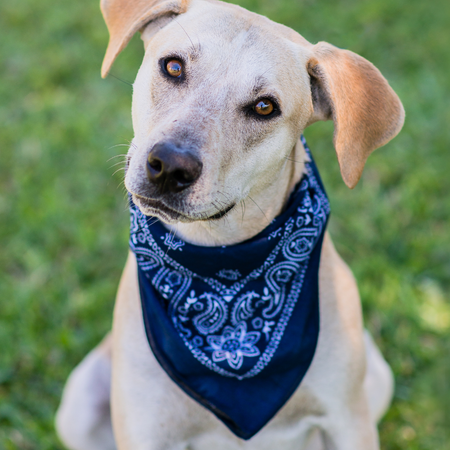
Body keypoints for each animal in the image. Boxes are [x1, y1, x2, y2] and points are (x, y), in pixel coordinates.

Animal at [55, 0, 404, 448]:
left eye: (264, 107)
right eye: (173, 67)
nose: (170, 165)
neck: (219, 263)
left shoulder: (348, 420)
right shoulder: (146, 429)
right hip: (79, 403)